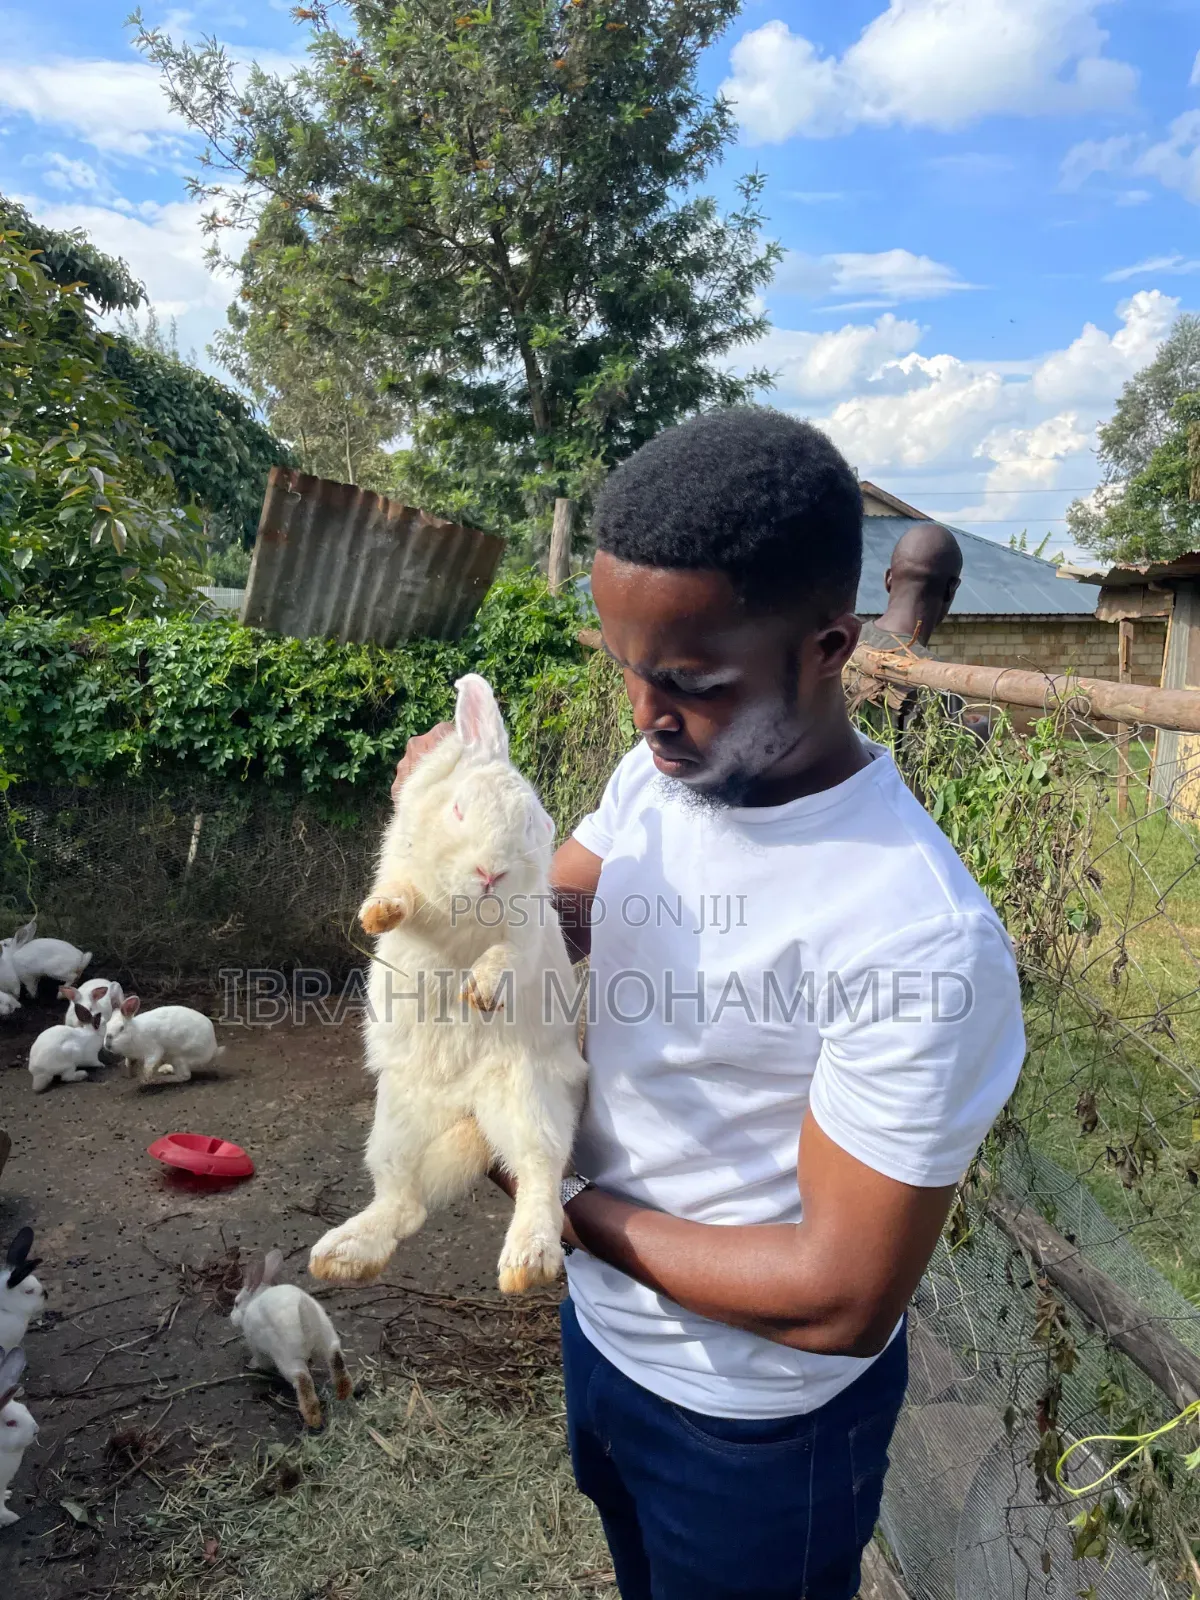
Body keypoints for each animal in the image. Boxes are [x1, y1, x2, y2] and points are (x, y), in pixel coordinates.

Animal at [231, 1250, 352, 1429]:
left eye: (236, 1303)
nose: (231, 1318)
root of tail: (304, 1318)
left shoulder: (255, 1345)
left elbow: (259, 1360)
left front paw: (252, 1365)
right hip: (328, 1338)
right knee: (336, 1362)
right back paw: (344, 1395)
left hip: (288, 1359)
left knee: (303, 1381)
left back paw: (314, 1420)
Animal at [309, 673, 588, 1296]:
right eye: (459, 809)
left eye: (533, 823)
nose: (491, 873)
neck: (468, 911)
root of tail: (465, 1106)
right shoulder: (416, 888)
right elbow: (405, 895)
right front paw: (378, 915)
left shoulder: (523, 931)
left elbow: (506, 956)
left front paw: (480, 992)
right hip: (395, 1120)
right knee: (403, 1201)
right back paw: (344, 1254)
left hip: (525, 1096)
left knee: (540, 1172)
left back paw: (526, 1262)